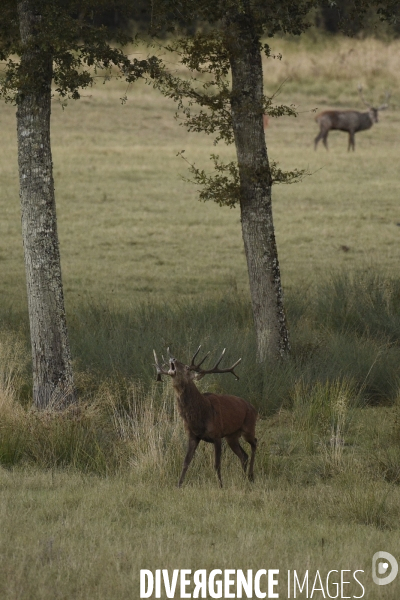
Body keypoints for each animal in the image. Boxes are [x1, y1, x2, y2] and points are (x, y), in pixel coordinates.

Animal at [152, 346, 258, 488]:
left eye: (187, 367)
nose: (173, 359)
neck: (200, 416)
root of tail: (253, 407)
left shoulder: (217, 434)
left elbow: (217, 464)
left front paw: (220, 485)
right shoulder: (193, 436)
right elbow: (186, 462)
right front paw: (178, 485)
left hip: (249, 427)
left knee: (255, 443)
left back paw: (250, 476)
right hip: (232, 436)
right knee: (243, 455)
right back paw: (244, 478)